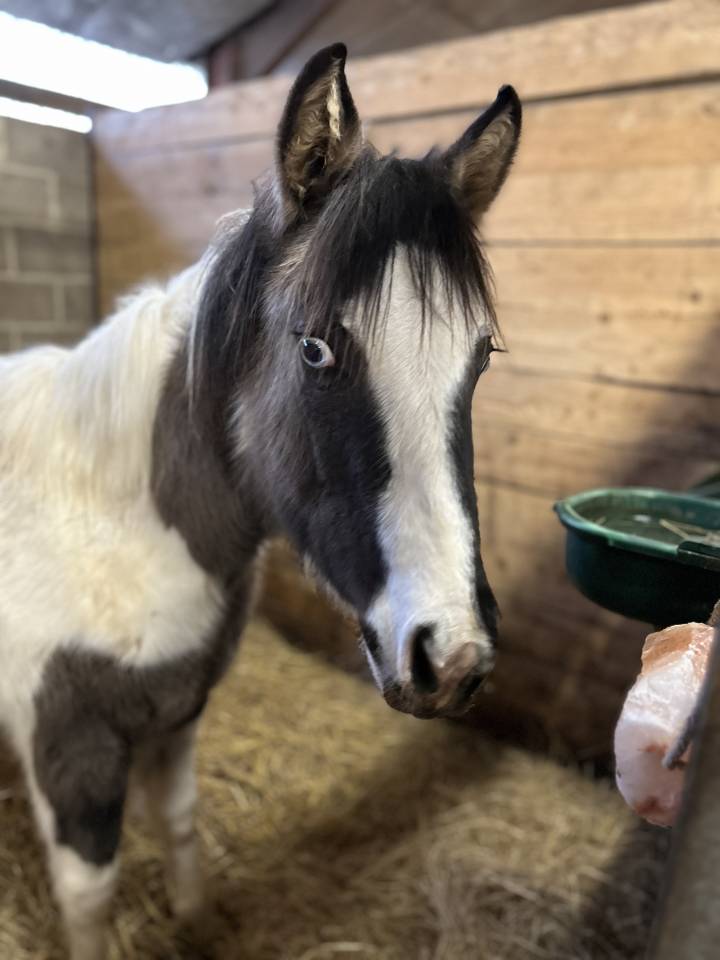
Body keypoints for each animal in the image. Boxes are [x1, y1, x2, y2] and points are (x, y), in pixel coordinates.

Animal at [0, 43, 521, 960]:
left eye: (481, 354)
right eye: (314, 349)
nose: (450, 657)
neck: (111, 524)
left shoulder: (177, 714)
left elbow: (179, 821)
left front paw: (198, 923)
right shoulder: (69, 747)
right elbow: (88, 896)